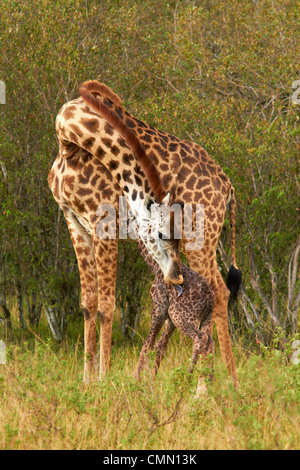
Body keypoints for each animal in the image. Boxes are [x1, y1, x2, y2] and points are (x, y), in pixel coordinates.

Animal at [136, 239, 216, 392]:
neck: (155, 265)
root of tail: (209, 297)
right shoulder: (170, 321)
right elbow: (160, 348)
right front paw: (151, 384)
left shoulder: (159, 310)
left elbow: (146, 346)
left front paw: (137, 384)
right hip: (205, 317)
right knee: (210, 342)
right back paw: (205, 387)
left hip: (180, 316)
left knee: (200, 338)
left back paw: (187, 381)